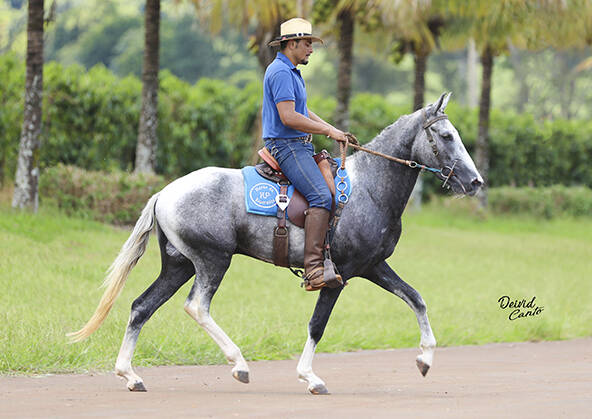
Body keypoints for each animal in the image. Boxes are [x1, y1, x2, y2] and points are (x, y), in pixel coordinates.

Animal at [71, 93, 484, 396]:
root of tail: (164, 193)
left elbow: (416, 298)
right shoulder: (340, 275)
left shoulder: (372, 267)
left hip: (179, 265)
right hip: (212, 261)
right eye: (446, 136)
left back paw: (130, 375)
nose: (476, 181)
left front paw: (425, 359)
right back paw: (238, 364)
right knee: (197, 306)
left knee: (142, 307)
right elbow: (317, 325)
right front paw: (310, 377)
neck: (368, 188)